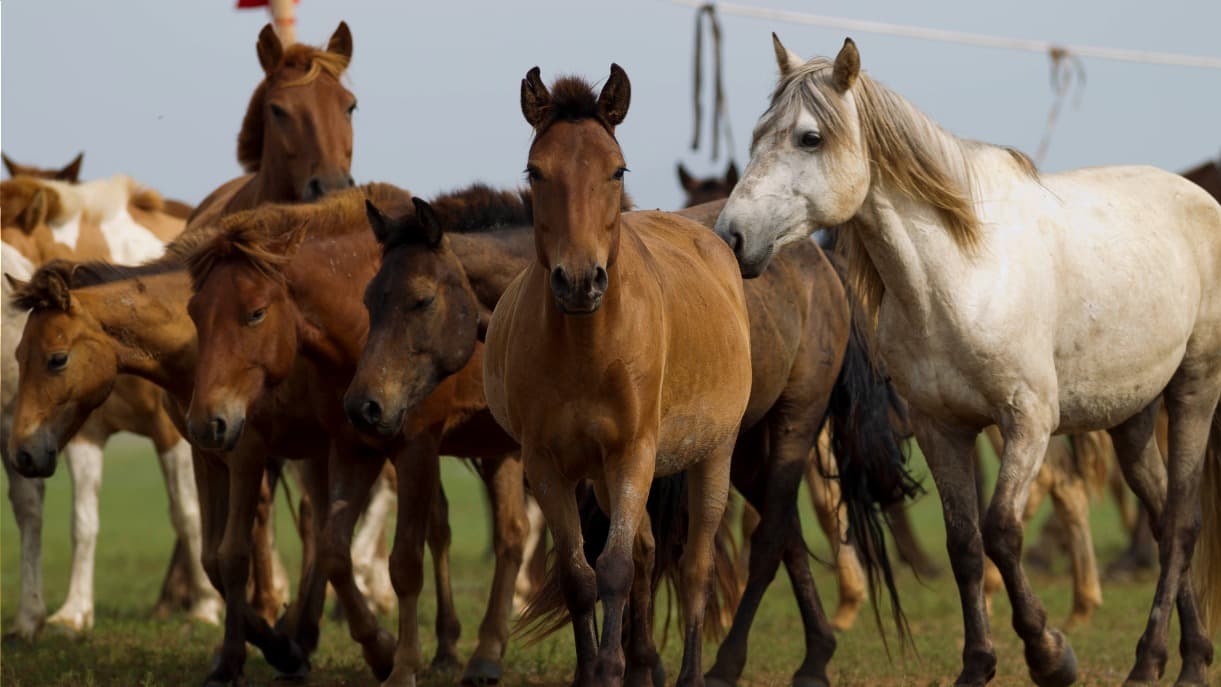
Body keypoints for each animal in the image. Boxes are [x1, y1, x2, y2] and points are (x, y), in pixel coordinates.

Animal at [183, 186, 526, 687]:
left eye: (255, 313)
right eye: (195, 312)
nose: (205, 421)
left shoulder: (415, 449)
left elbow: (404, 563)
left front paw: (400, 664)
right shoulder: (350, 447)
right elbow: (331, 552)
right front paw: (380, 649)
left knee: (512, 537)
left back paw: (482, 654)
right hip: (498, 450)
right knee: (508, 535)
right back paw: (476, 652)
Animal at [714, 35, 1221, 686]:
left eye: (809, 137)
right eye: (758, 133)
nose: (731, 237)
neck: (960, 273)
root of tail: (1201, 199)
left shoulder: (1028, 422)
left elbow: (1001, 531)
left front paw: (1051, 655)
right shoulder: (941, 429)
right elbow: (963, 544)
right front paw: (978, 664)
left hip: (1194, 391)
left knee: (1182, 522)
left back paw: (1166, 664)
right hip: (1131, 419)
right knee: (1160, 518)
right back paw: (1181, 655)